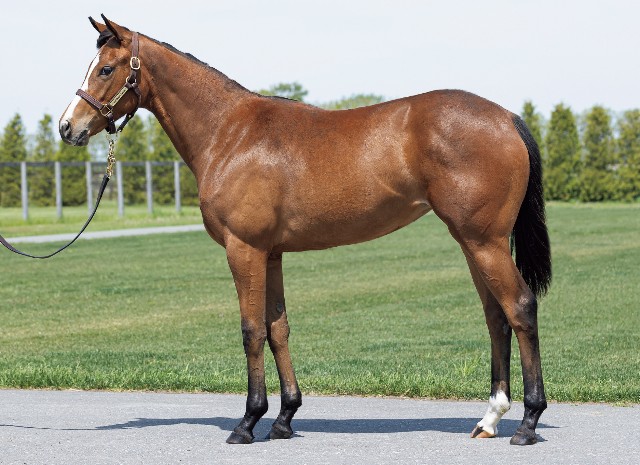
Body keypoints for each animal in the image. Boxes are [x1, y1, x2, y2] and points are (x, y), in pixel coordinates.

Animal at [59, 16, 551, 446]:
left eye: (106, 68)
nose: (68, 126)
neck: (230, 133)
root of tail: (505, 117)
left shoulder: (244, 249)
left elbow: (251, 331)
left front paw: (247, 421)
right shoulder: (271, 252)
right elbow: (278, 328)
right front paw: (284, 418)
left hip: (484, 242)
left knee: (520, 307)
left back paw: (527, 422)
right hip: (472, 243)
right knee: (496, 317)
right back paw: (489, 419)